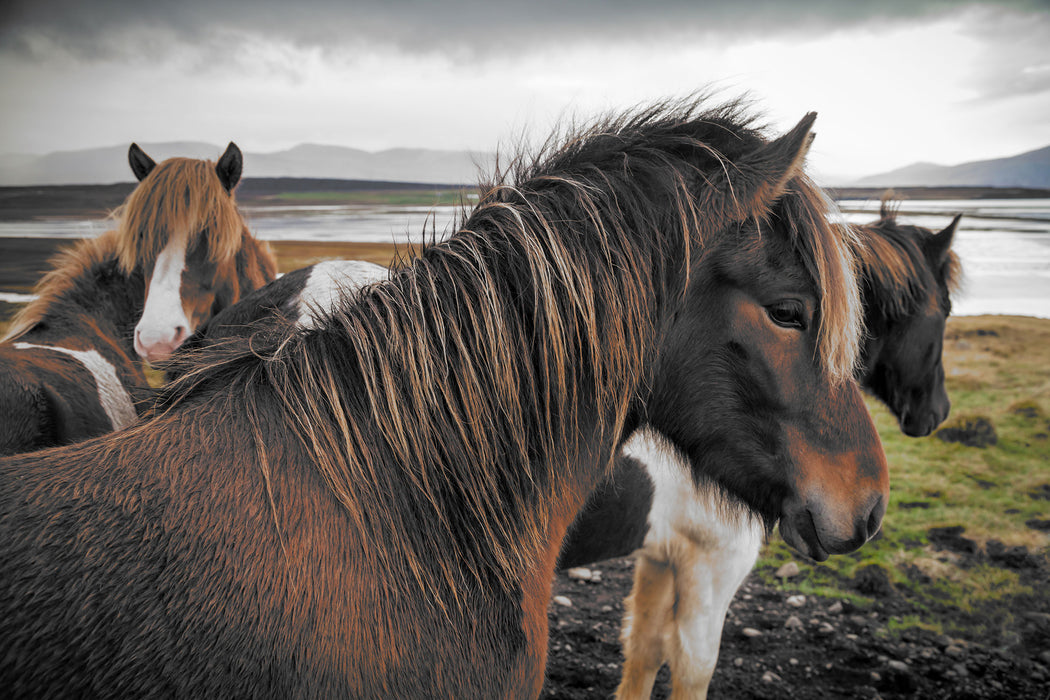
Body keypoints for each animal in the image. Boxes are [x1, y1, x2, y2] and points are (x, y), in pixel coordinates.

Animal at [558, 199, 961, 696]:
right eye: (945, 310)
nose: (939, 412)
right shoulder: (715, 560)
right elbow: (693, 667)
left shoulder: (659, 555)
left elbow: (644, 651)